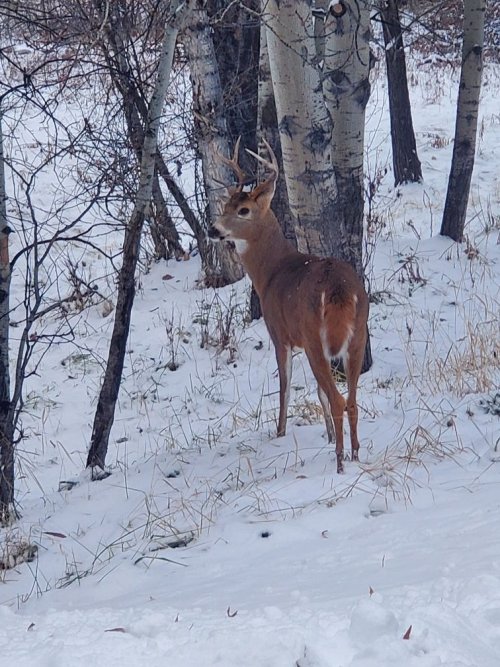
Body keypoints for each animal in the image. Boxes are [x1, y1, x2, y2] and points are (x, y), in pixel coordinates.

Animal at [209, 138, 370, 474]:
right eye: (226, 206)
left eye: (243, 210)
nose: (212, 229)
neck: (270, 272)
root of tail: (339, 289)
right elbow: (319, 394)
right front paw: (326, 434)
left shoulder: (279, 333)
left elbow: (285, 385)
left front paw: (280, 432)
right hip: (359, 333)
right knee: (350, 400)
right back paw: (355, 453)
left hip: (313, 337)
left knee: (338, 398)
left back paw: (340, 462)